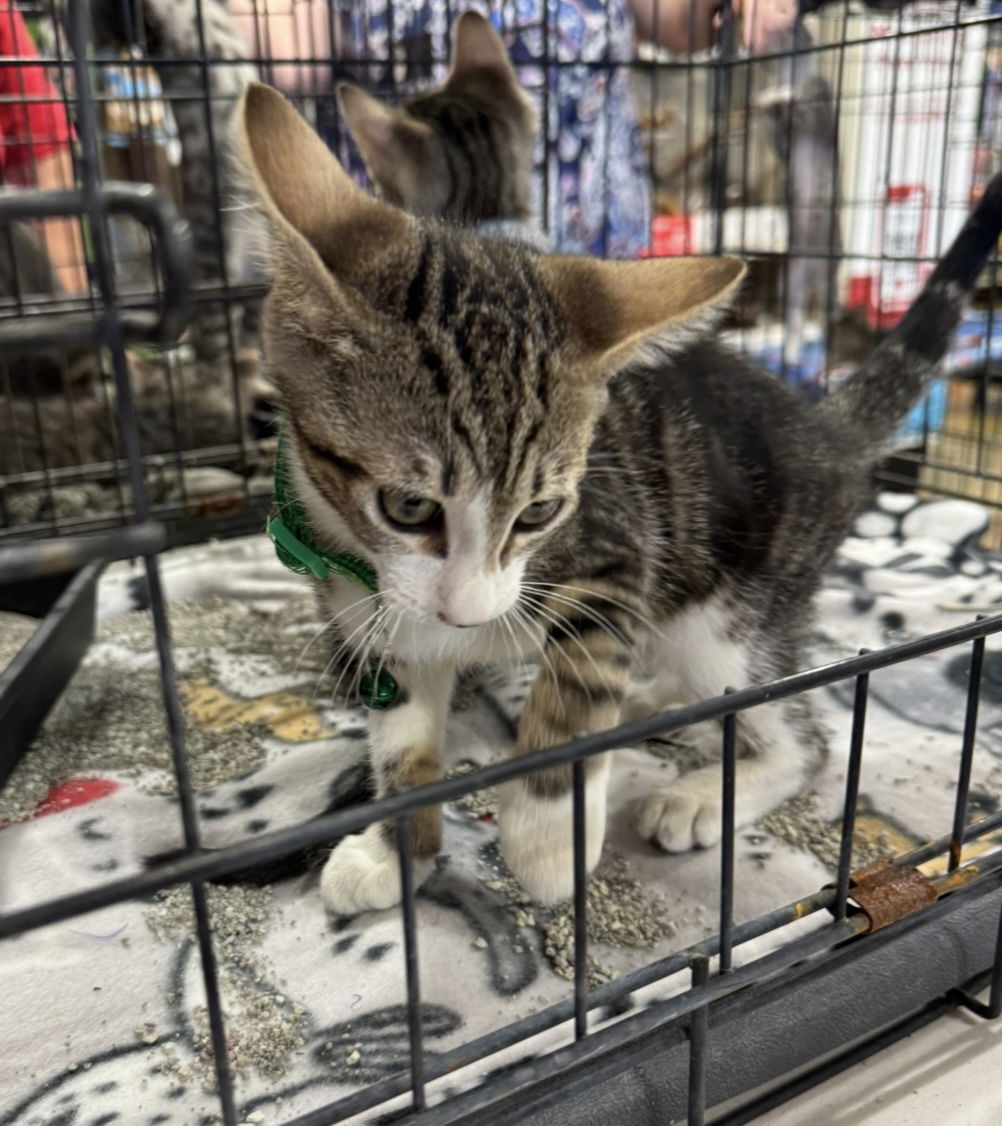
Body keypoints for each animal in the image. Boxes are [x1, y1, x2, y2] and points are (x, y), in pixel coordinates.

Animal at [236, 79, 999, 909]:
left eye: (540, 512)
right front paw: (393, 849)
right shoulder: (376, 623)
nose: (468, 616)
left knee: (801, 731)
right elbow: (403, 742)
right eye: (408, 507)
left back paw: (708, 789)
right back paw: (655, 702)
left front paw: (543, 839)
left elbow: (574, 694)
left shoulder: (615, 552)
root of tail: (824, 427)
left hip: (730, 611)